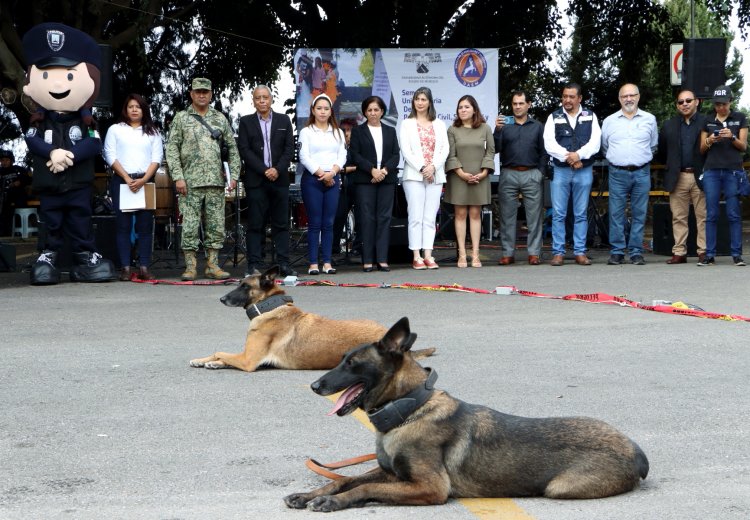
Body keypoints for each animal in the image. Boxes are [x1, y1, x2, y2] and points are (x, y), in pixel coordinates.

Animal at [189, 266, 434, 372]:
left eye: (244, 286)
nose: (221, 298)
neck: (270, 307)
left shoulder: (248, 361)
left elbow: (221, 351)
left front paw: (210, 361)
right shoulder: (246, 356)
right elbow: (221, 354)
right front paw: (204, 360)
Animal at [284, 316, 648, 512]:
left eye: (353, 363)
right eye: (341, 359)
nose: (315, 385)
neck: (410, 409)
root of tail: (637, 451)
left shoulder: (429, 488)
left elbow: (363, 488)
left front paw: (335, 503)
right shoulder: (391, 474)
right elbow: (344, 479)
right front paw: (310, 495)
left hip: (559, 487)